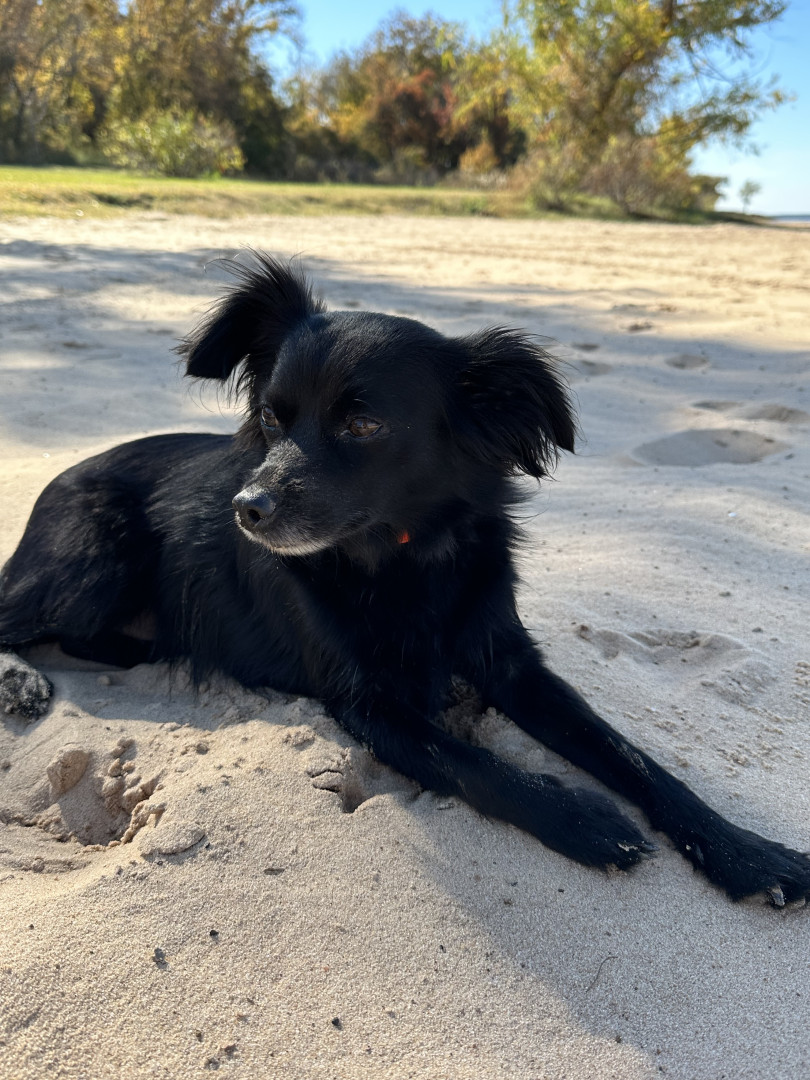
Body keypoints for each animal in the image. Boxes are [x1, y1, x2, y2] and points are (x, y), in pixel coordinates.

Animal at [1, 254, 808, 905]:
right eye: (271, 416)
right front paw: (583, 819)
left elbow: (633, 757)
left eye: (363, 425)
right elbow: (476, 764)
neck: (402, 558)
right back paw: (23, 682)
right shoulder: (368, 703)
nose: (246, 509)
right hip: (93, 559)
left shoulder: (511, 662)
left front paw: (748, 853)